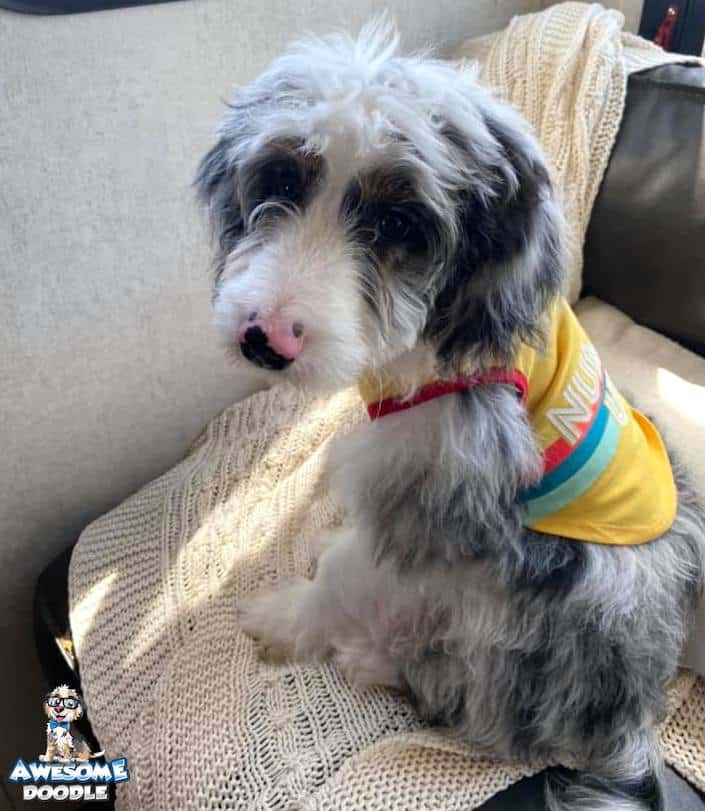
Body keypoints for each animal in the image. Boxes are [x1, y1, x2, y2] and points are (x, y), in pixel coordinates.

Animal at [195, 20, 704, 811]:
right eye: (281, 182)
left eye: (397, 220)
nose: (264, 338)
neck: (432, 340)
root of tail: (628, 715)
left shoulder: (429, 504)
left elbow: (342, 573)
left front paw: (284, 621)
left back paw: (370, 655)